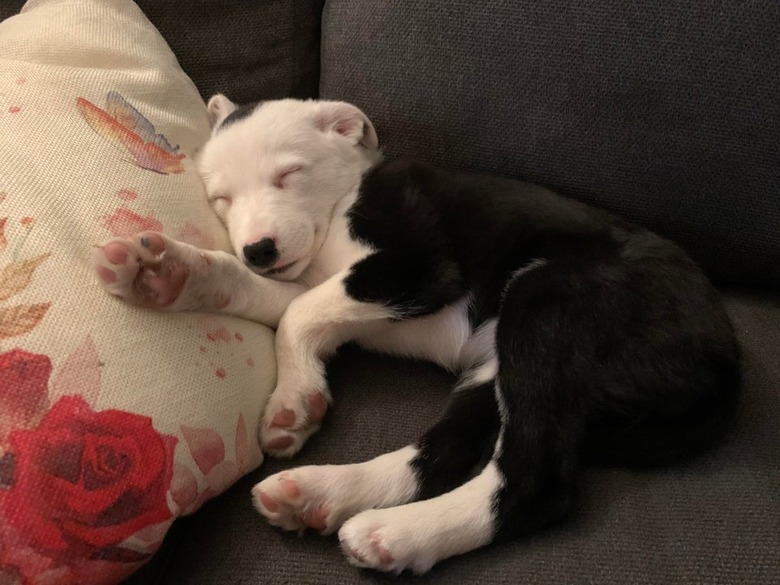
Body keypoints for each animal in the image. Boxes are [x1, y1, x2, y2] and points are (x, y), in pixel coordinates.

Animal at [91, 97, 736, 576]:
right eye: (221, 200)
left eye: (289, 174)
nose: (259, 249)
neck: (338, 207)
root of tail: (724, 359)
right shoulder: (333, 285)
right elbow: (283, 299)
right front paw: (171, 274)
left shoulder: (416, 266)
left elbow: (298, 314)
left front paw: (294, 398)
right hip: (495, 369)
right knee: (448, 451)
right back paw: (330, 495)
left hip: (545, 300)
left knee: (535, 481)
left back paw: (399, 533)